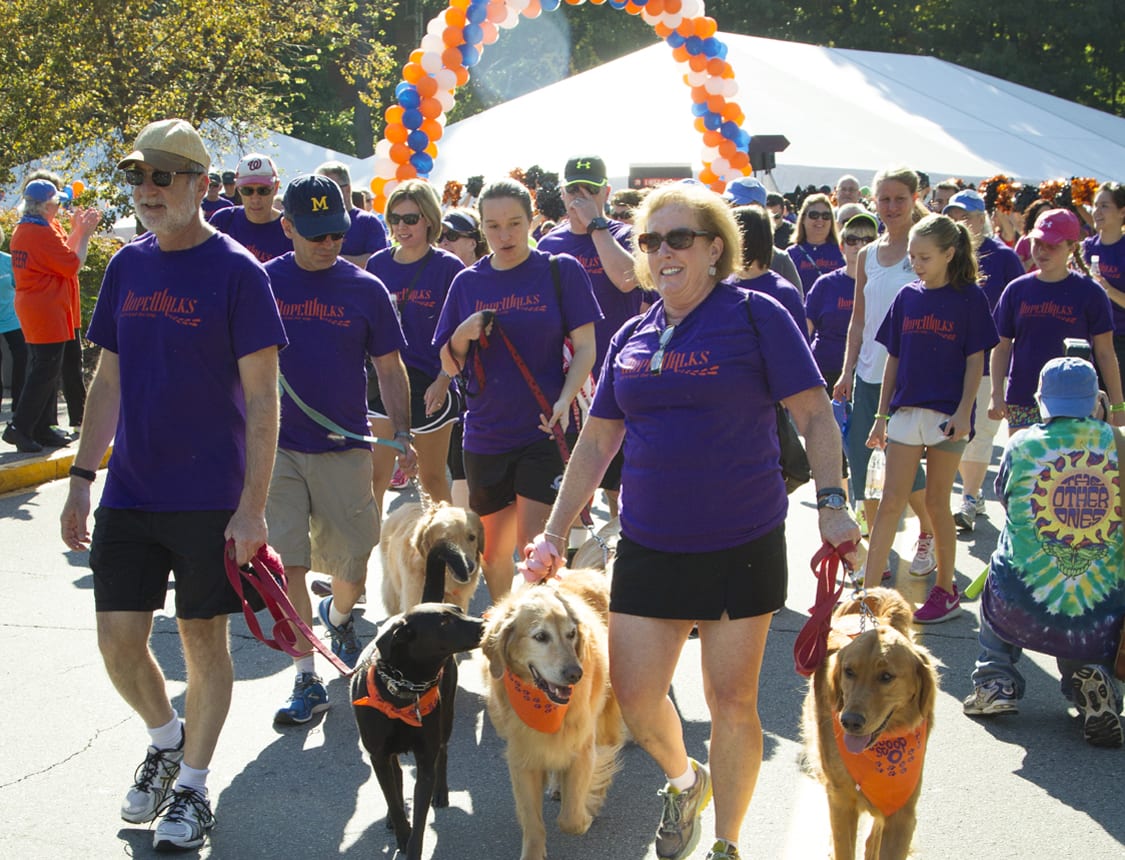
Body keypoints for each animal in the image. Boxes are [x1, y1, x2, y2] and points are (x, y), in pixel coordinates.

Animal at [351, 540, 483, 855]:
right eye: (444, 623)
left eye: (459, 610)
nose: (484, 624)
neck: (403, 690)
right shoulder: (378, 756)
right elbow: (395, 800)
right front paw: (400, 830)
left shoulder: (424, 760)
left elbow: (421, 816)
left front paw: (412, 845)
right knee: (397, 782)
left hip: (446, 717)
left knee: (443, 753)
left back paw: (441, 792)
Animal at [481, 571, 630, 860]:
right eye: (541, 636)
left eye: (571, 634)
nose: (575, 674)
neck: (541, 704)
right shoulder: (522, 756)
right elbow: (532, 821)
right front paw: (533, 851)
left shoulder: (582, 747)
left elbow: (570, 819)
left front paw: (586, 814)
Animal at [801, 589, 940, 855]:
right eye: (849, 671)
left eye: (886, 677)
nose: (850, 721)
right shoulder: (840, 800)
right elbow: (844, 848)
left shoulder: (903, 813)